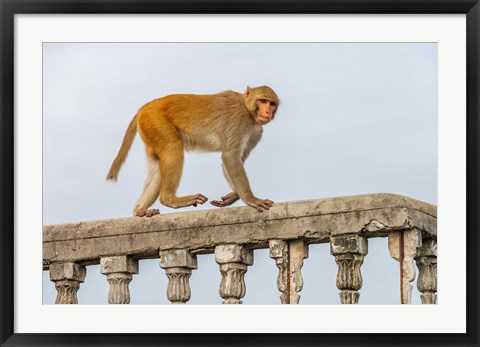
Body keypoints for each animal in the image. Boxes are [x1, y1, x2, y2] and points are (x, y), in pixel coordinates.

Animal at [107, 85, 280, 218]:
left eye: (272, 104)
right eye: (263, 101)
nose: (268, 112)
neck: (249, 111)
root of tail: (144, 108)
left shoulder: (256, 133)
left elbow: (233, 160)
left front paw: (233, 196)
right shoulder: (240, 119)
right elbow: (230, 156)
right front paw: (250, 199)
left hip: (150, 130)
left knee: (157, 167)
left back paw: (140, 211)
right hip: (156, 122)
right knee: (173, 147)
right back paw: (170, 199)